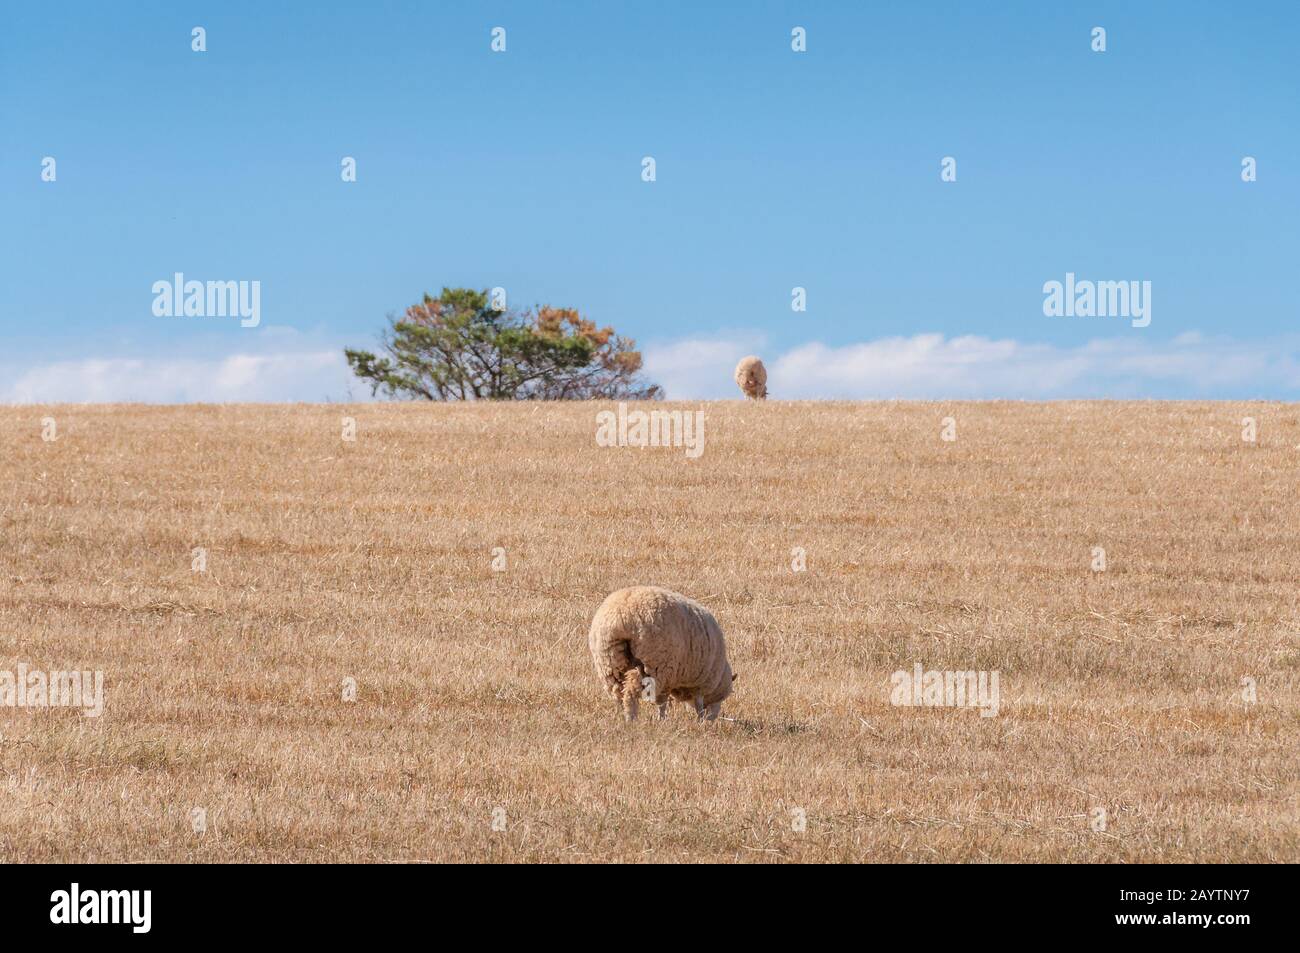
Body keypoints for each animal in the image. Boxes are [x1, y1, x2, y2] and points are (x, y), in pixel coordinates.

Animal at [588, 586, 736, 722]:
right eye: (721, 698)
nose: (711, 719)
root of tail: (621, 618)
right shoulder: (694, 682)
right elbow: (671, 703)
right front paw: (669, 720)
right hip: (654, 665)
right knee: (630, 693)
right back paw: (631, 720)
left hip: (610, 661)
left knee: (618, 693)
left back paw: (621, 718)